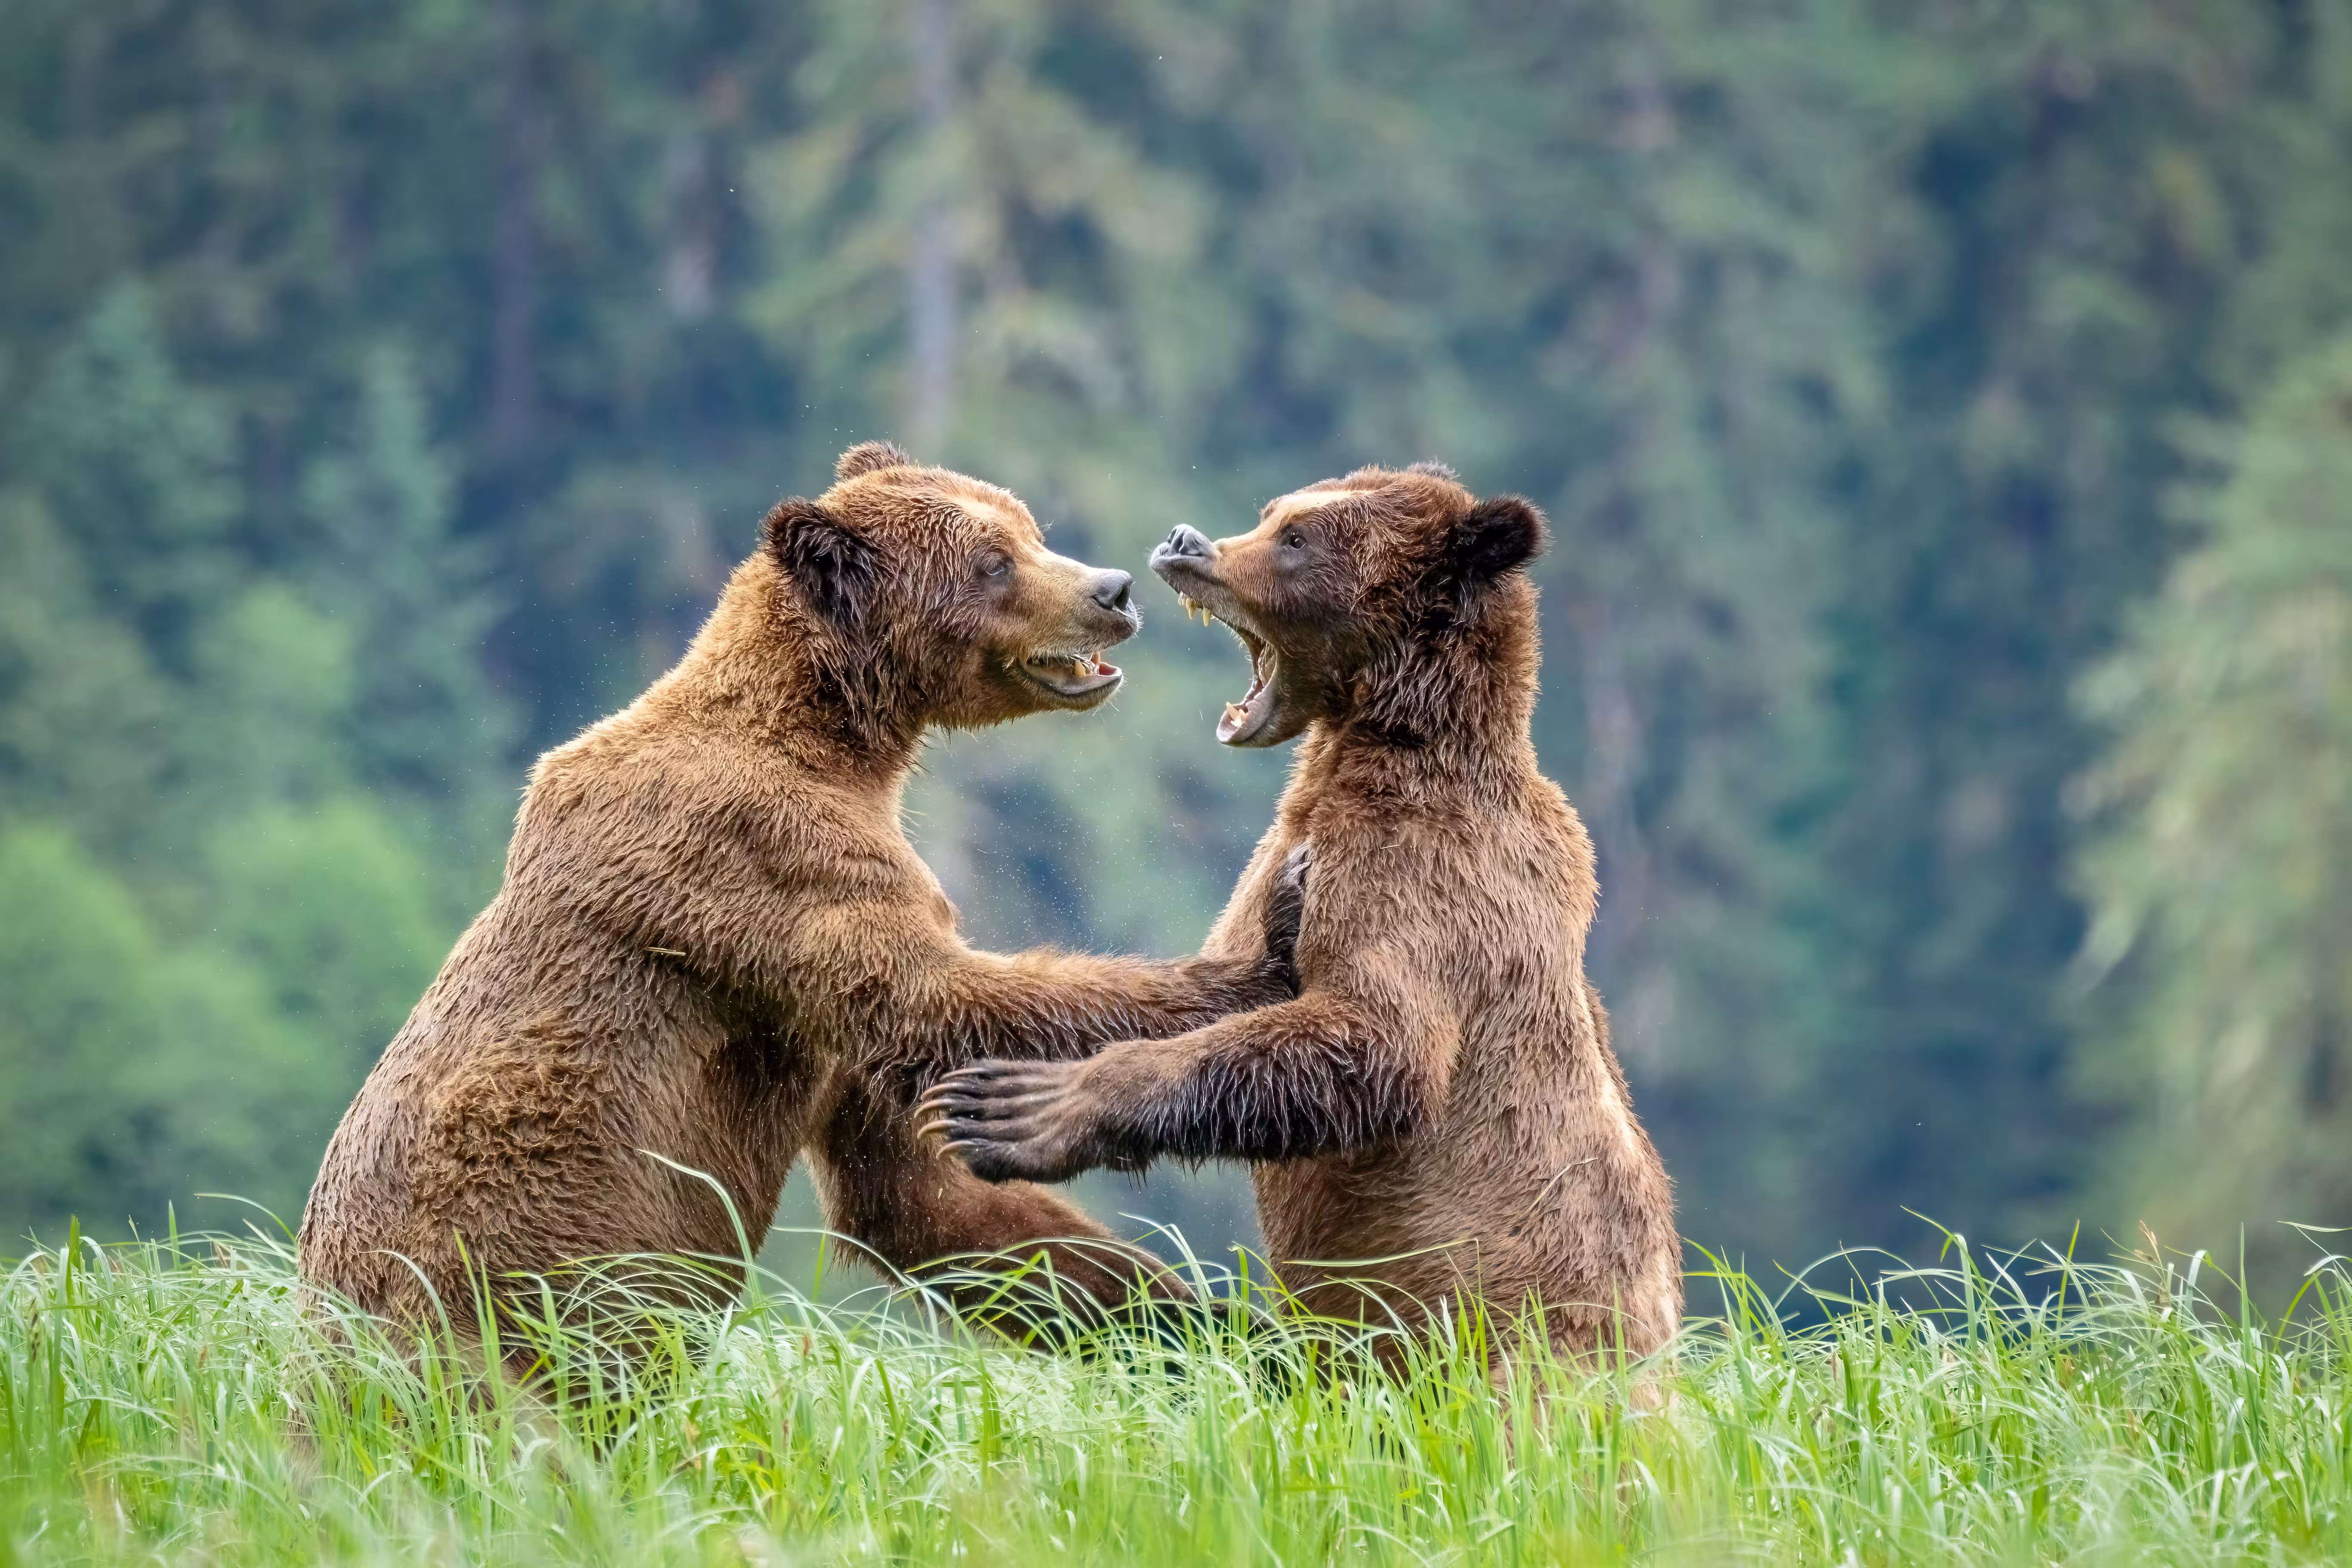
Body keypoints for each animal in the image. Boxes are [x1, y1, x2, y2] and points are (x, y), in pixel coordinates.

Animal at [296, 440, 1304, 1344]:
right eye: (992, 561)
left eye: (1027, 527)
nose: (1113, 590)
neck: (833, 738)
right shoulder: (765, 865)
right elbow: (938, 996)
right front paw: (1261, 950)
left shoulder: (816, 1030)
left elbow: (923, 1204)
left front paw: (1237, 1329)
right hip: (498, 1291)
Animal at [920, 462, 1682, 1368]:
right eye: (1274, 512)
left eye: (1296, 540)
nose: (1186, 543)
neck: (1375, 738)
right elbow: (1231, 982)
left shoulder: (1420, 869)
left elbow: (1375, 1036)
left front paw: (1014, 1107)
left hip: (1518, 1327)